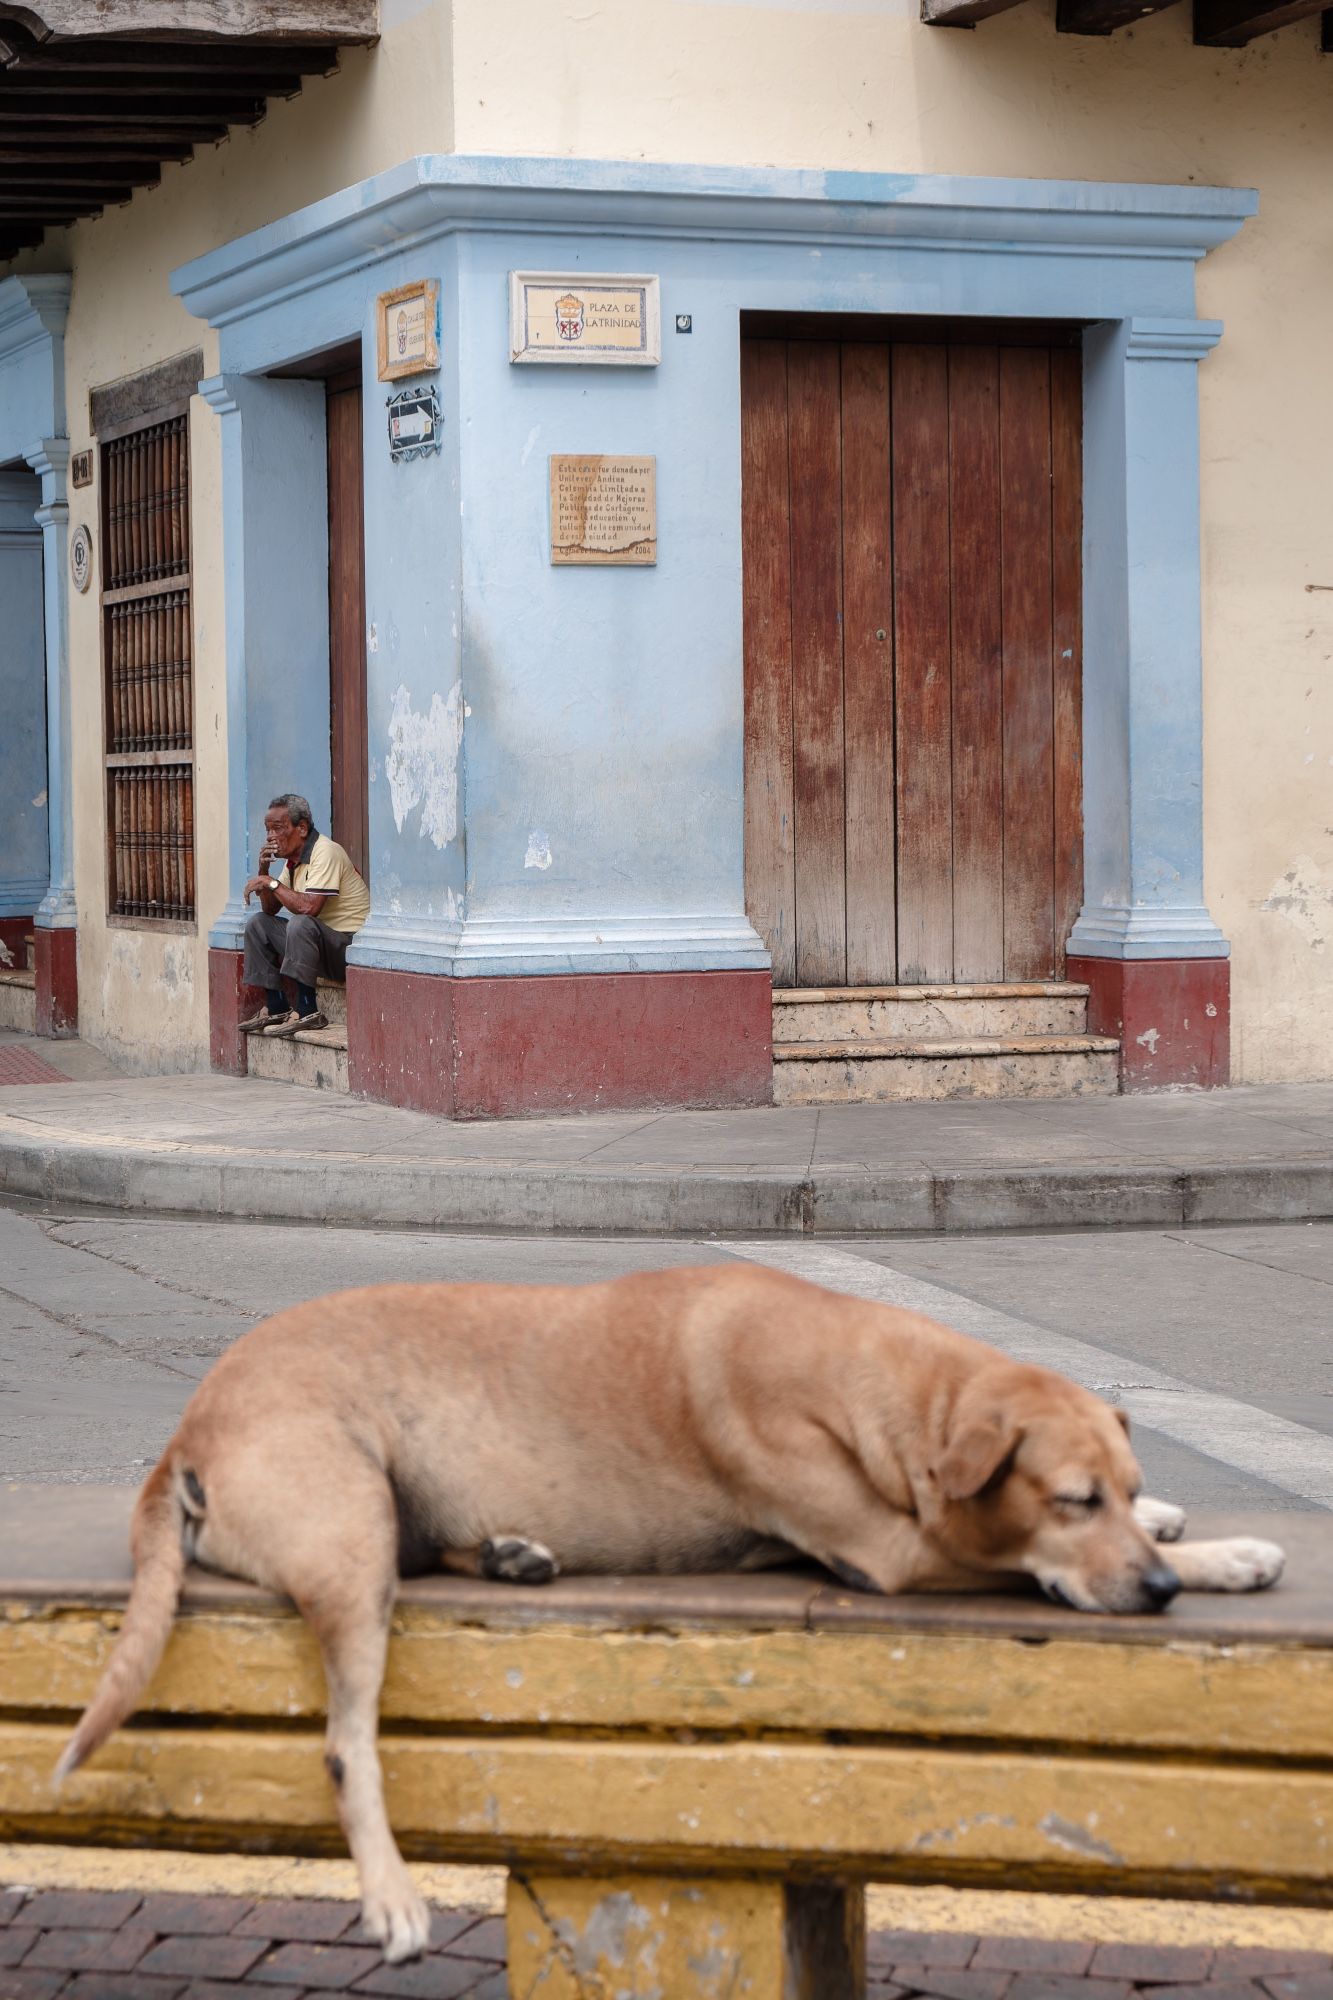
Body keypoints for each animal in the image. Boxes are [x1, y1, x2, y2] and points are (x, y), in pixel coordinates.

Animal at [57, 1272, 1280, 1960]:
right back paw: (392, 1894)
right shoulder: (892, 1551)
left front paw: (1187, 1527)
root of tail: (189, 1423)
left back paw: (507, 1552)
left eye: (1115, 1484)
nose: (1157, 1591)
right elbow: (999, 1556)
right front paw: (1216, 1554)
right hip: (349, 1533)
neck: (882, 1376)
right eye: (1070, 1500)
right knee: (347, 1744)